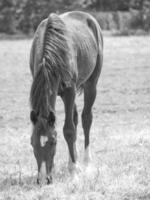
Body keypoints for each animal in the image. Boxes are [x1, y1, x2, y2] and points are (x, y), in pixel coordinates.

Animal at [29, 10, 103, 184]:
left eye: (53, 142)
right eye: (32, 143)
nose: (43, 180)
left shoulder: (69, 91)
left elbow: (68, 130)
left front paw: (74, 173)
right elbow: (70, 127)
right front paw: (67, 167)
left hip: (91, 84)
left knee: (86, 119)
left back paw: (85, 163)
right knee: (75, 119)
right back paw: (75, 160)